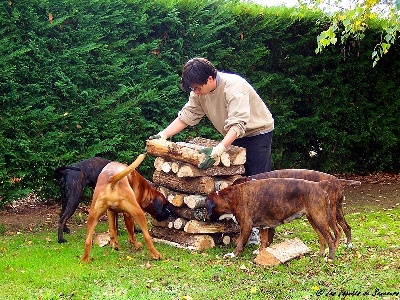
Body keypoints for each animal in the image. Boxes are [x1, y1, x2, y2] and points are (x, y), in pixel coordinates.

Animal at [205, 178, 336, 260]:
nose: (205, 218)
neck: (230, 198)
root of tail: (319, 184)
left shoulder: (246, 226)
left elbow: (240, 242)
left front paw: (233, 254)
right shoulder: (263, 226)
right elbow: (263, 241)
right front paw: (261, 252)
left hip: (319, 219)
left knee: (330, 238)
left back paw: (330, 258)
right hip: (313, 220)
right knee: (323, 239)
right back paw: (320, 254)